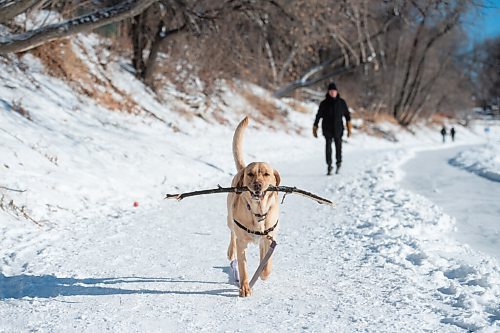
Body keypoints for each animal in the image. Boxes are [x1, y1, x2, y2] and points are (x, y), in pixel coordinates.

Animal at [227, 116, 282, 296]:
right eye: (250, 174)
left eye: (266, 174)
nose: (257, 185)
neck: (258, 211)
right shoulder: (242, 243)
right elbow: (243, 268)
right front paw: (245, 287)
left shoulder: (269, 239)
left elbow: (266, 263)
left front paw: (263, 274)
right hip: (229, 219)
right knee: (232, 235)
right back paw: (230, 252)